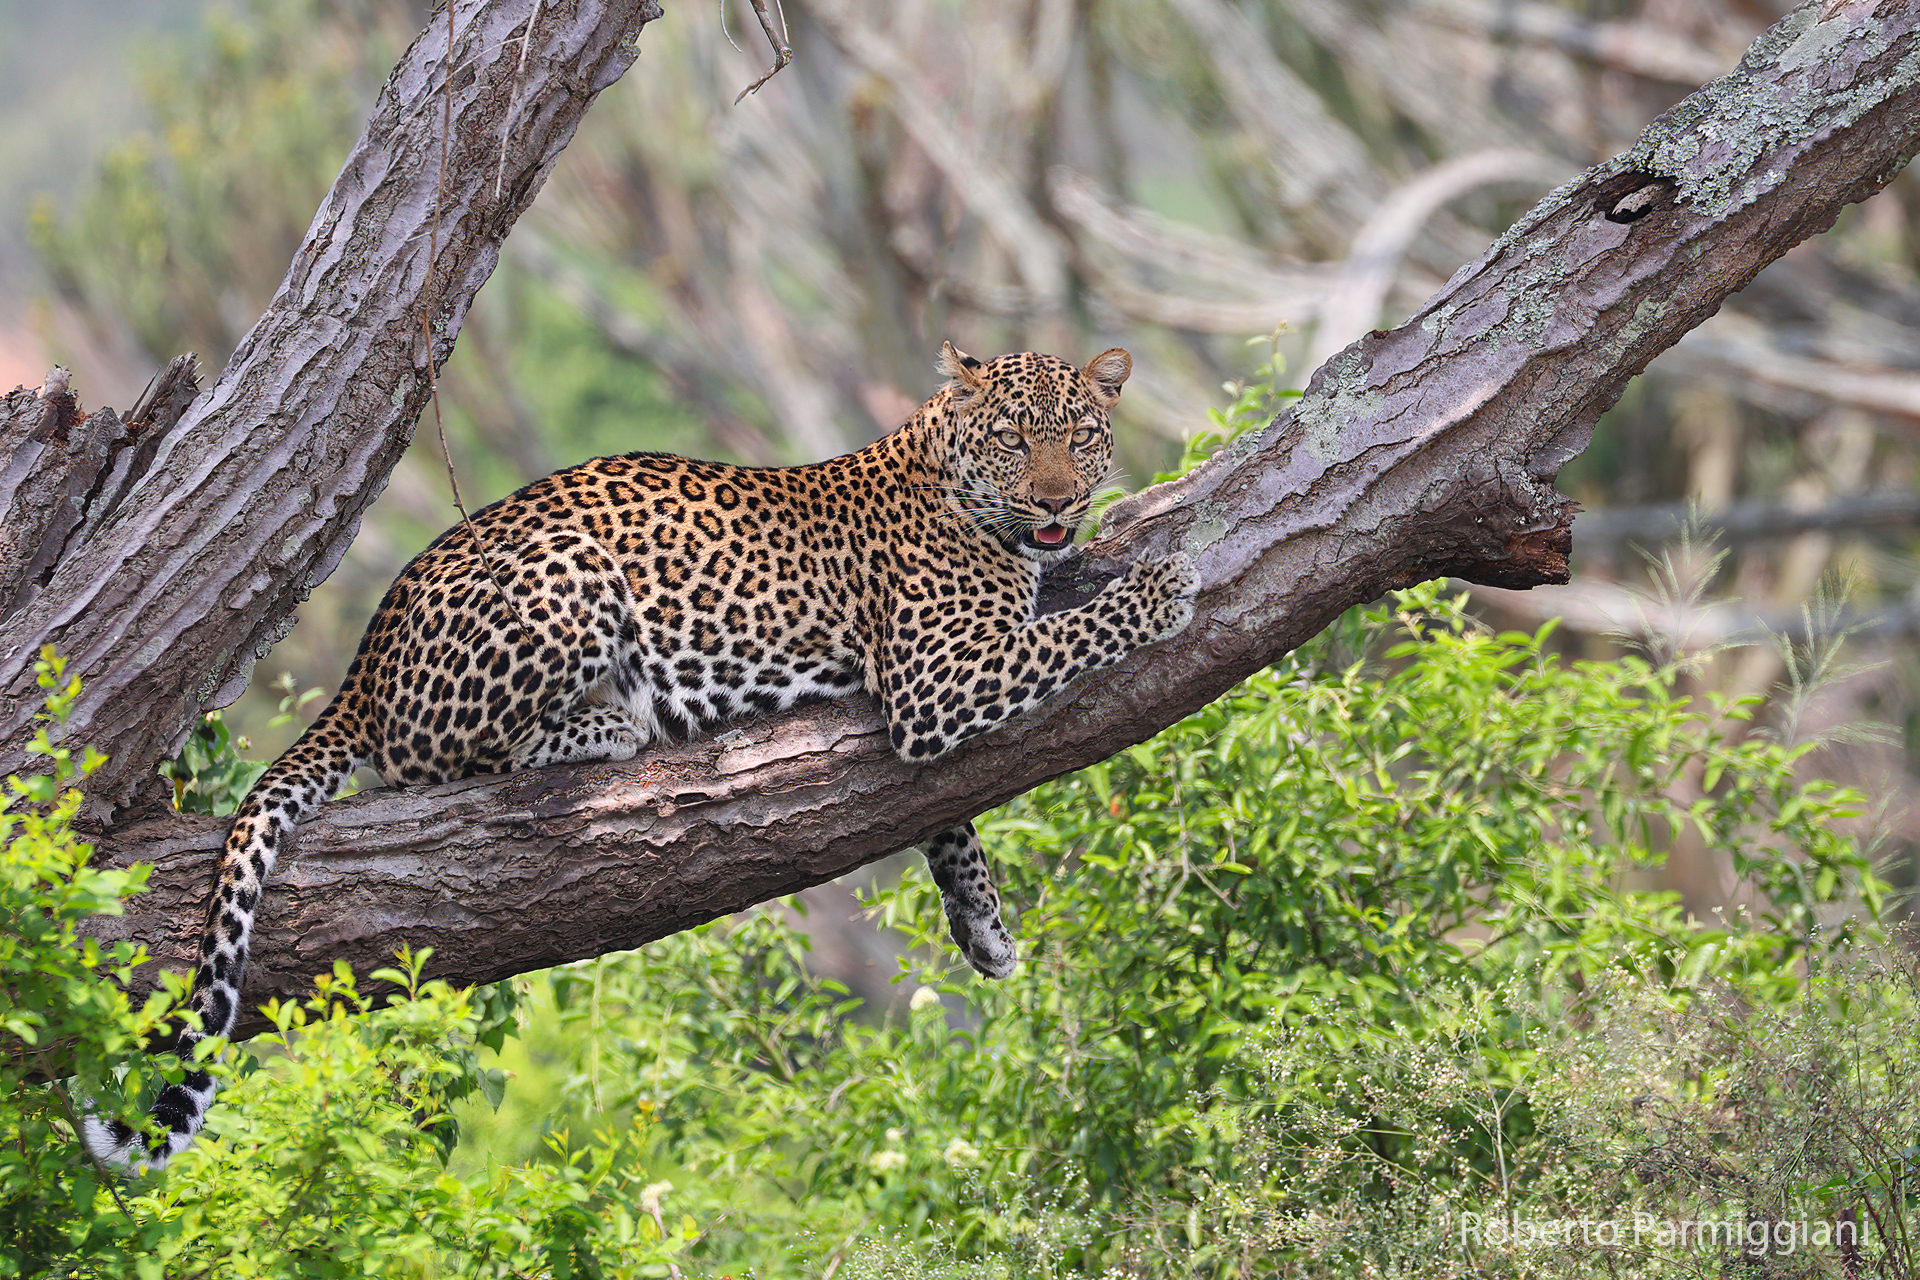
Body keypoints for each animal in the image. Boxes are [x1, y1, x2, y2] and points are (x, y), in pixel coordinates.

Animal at [86, 343, 1199, 1171]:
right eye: (1015, 438)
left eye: (1081, 435)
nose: (1057, 503)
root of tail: (365, 657)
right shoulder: (936, 679)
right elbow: (1069, 634)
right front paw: (1163, 586)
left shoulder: (942, 691)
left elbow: (950, 812)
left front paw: (983, 925)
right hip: (566, 578)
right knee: (438, 761)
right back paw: (613, 722)